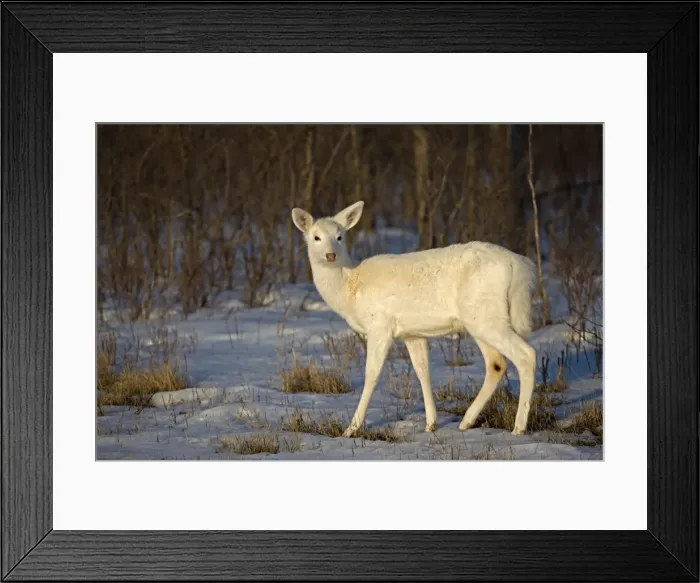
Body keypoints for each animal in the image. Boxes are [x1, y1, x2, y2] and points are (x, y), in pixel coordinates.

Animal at [291, 201, 538, 438]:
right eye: (316, 237)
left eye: (340, 236)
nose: (330, 255)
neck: (349, 289)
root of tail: (519, 266)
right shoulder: (412, 334)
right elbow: (422, 372)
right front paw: (431, 424)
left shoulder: (380, 325)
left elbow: (371, 374)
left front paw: (351, 429)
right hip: (479, 319)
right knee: (496, 364)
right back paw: (466, 422)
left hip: (487, 316)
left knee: (526, 355)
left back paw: (518, 428)